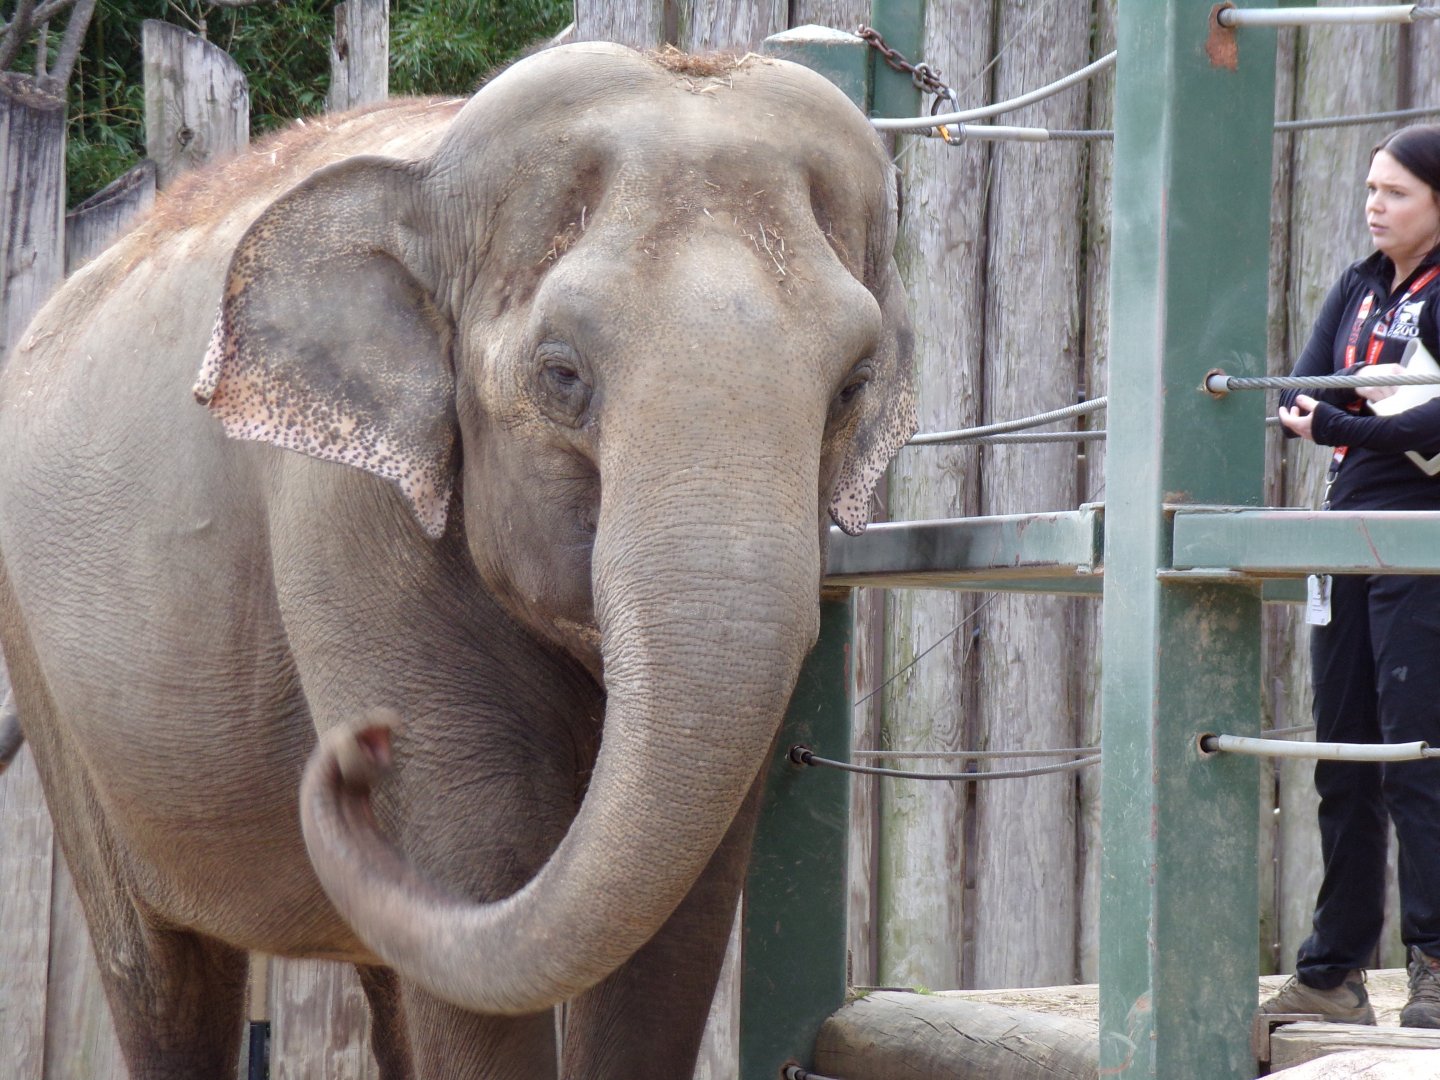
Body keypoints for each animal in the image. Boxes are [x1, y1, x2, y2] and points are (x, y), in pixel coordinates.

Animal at [0, 41, 915, 1080]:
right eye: (561, 374)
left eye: (853, 386)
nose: (357, 750)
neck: (430, 175)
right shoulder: (345, 516)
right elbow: (475, 863)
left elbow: (676, 928)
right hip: (54, 690)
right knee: (158, 972)